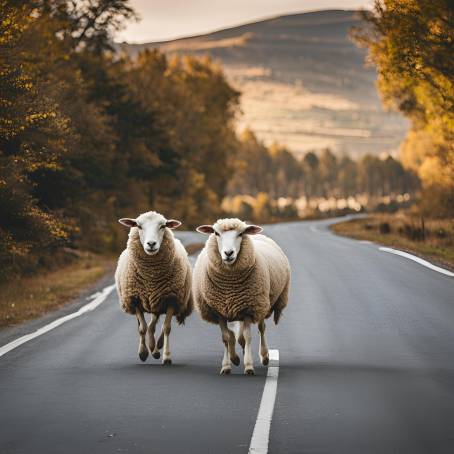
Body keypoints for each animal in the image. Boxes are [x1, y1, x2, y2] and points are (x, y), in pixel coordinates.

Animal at [114, 211, 192, 364]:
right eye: (138, 226)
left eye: (163, 226)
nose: (151, 244)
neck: (151, 277)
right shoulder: (135, 299)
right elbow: (142, 328)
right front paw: (143, 352)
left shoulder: (171, 299)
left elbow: (166, 328)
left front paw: (166, 356)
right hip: (152, 301)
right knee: (149, 326)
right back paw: (152, 347)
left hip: (159, 301)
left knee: (156, 325)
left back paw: (157, 347)